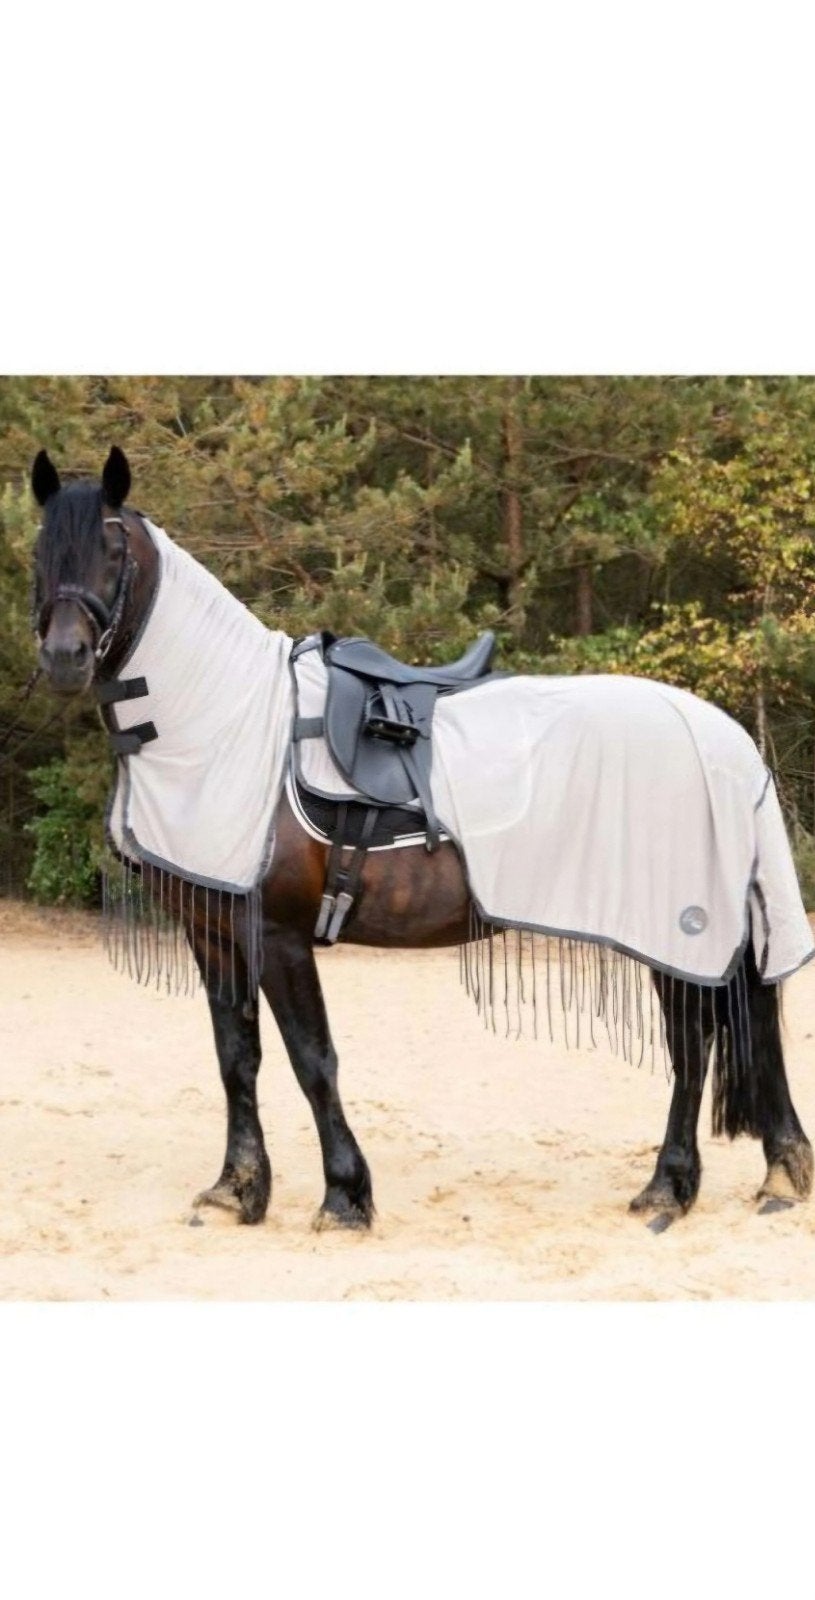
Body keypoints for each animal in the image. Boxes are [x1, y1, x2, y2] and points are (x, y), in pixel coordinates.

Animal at [28, 445, 814, 1231]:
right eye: (38, 549)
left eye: (113, 547)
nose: (64, 657)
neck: (231, 722)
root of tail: (722, 737)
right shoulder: (215, 932)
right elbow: (236, 1059)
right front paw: (236, 1189)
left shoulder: (280, 934)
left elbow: (313, 1060)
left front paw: (344, 1196)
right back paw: (776, 1173)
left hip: (675, 933)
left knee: (691, 1044)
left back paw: (668, 1187)